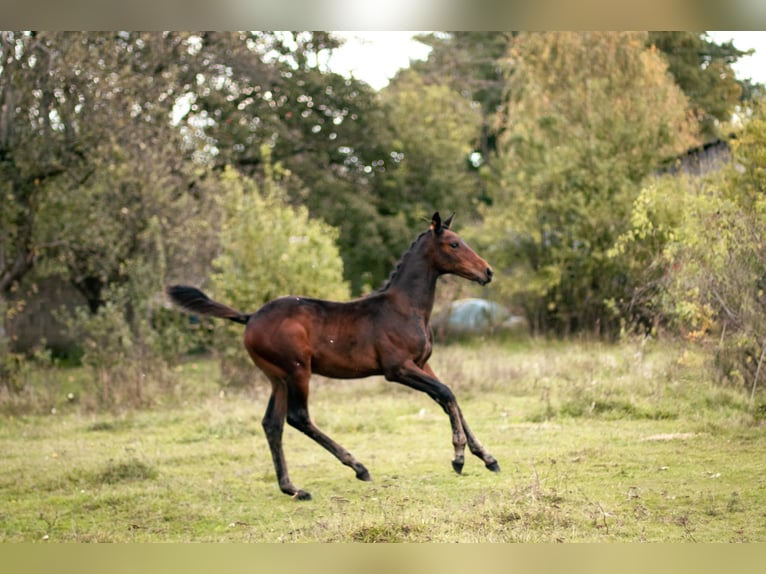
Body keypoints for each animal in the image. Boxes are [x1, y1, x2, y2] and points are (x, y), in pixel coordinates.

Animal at [168, 214, 500, 502]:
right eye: (454, 244)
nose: (487, 271)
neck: (405, 308)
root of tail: (249, 317)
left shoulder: (421, 364)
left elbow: (449, 400)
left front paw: (487, 458)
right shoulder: (398, 369)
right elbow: (447, 393)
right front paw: (458, 457)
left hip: (277, 377)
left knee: (272, 423)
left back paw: (293, 489)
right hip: (297, 372)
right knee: (297, 417)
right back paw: (357, 467)